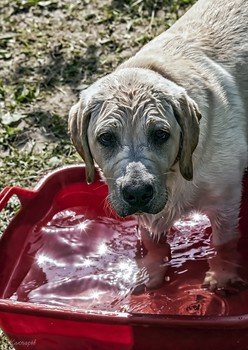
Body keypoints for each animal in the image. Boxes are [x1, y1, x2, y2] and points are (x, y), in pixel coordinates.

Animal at [68, 0, 248, 292]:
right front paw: (149, 273)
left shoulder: (226, 200)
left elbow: (223, 244)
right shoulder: (147, 216)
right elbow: (152, 243)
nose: (137, 192)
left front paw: (221, 277)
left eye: (160, 135)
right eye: (106, 138)